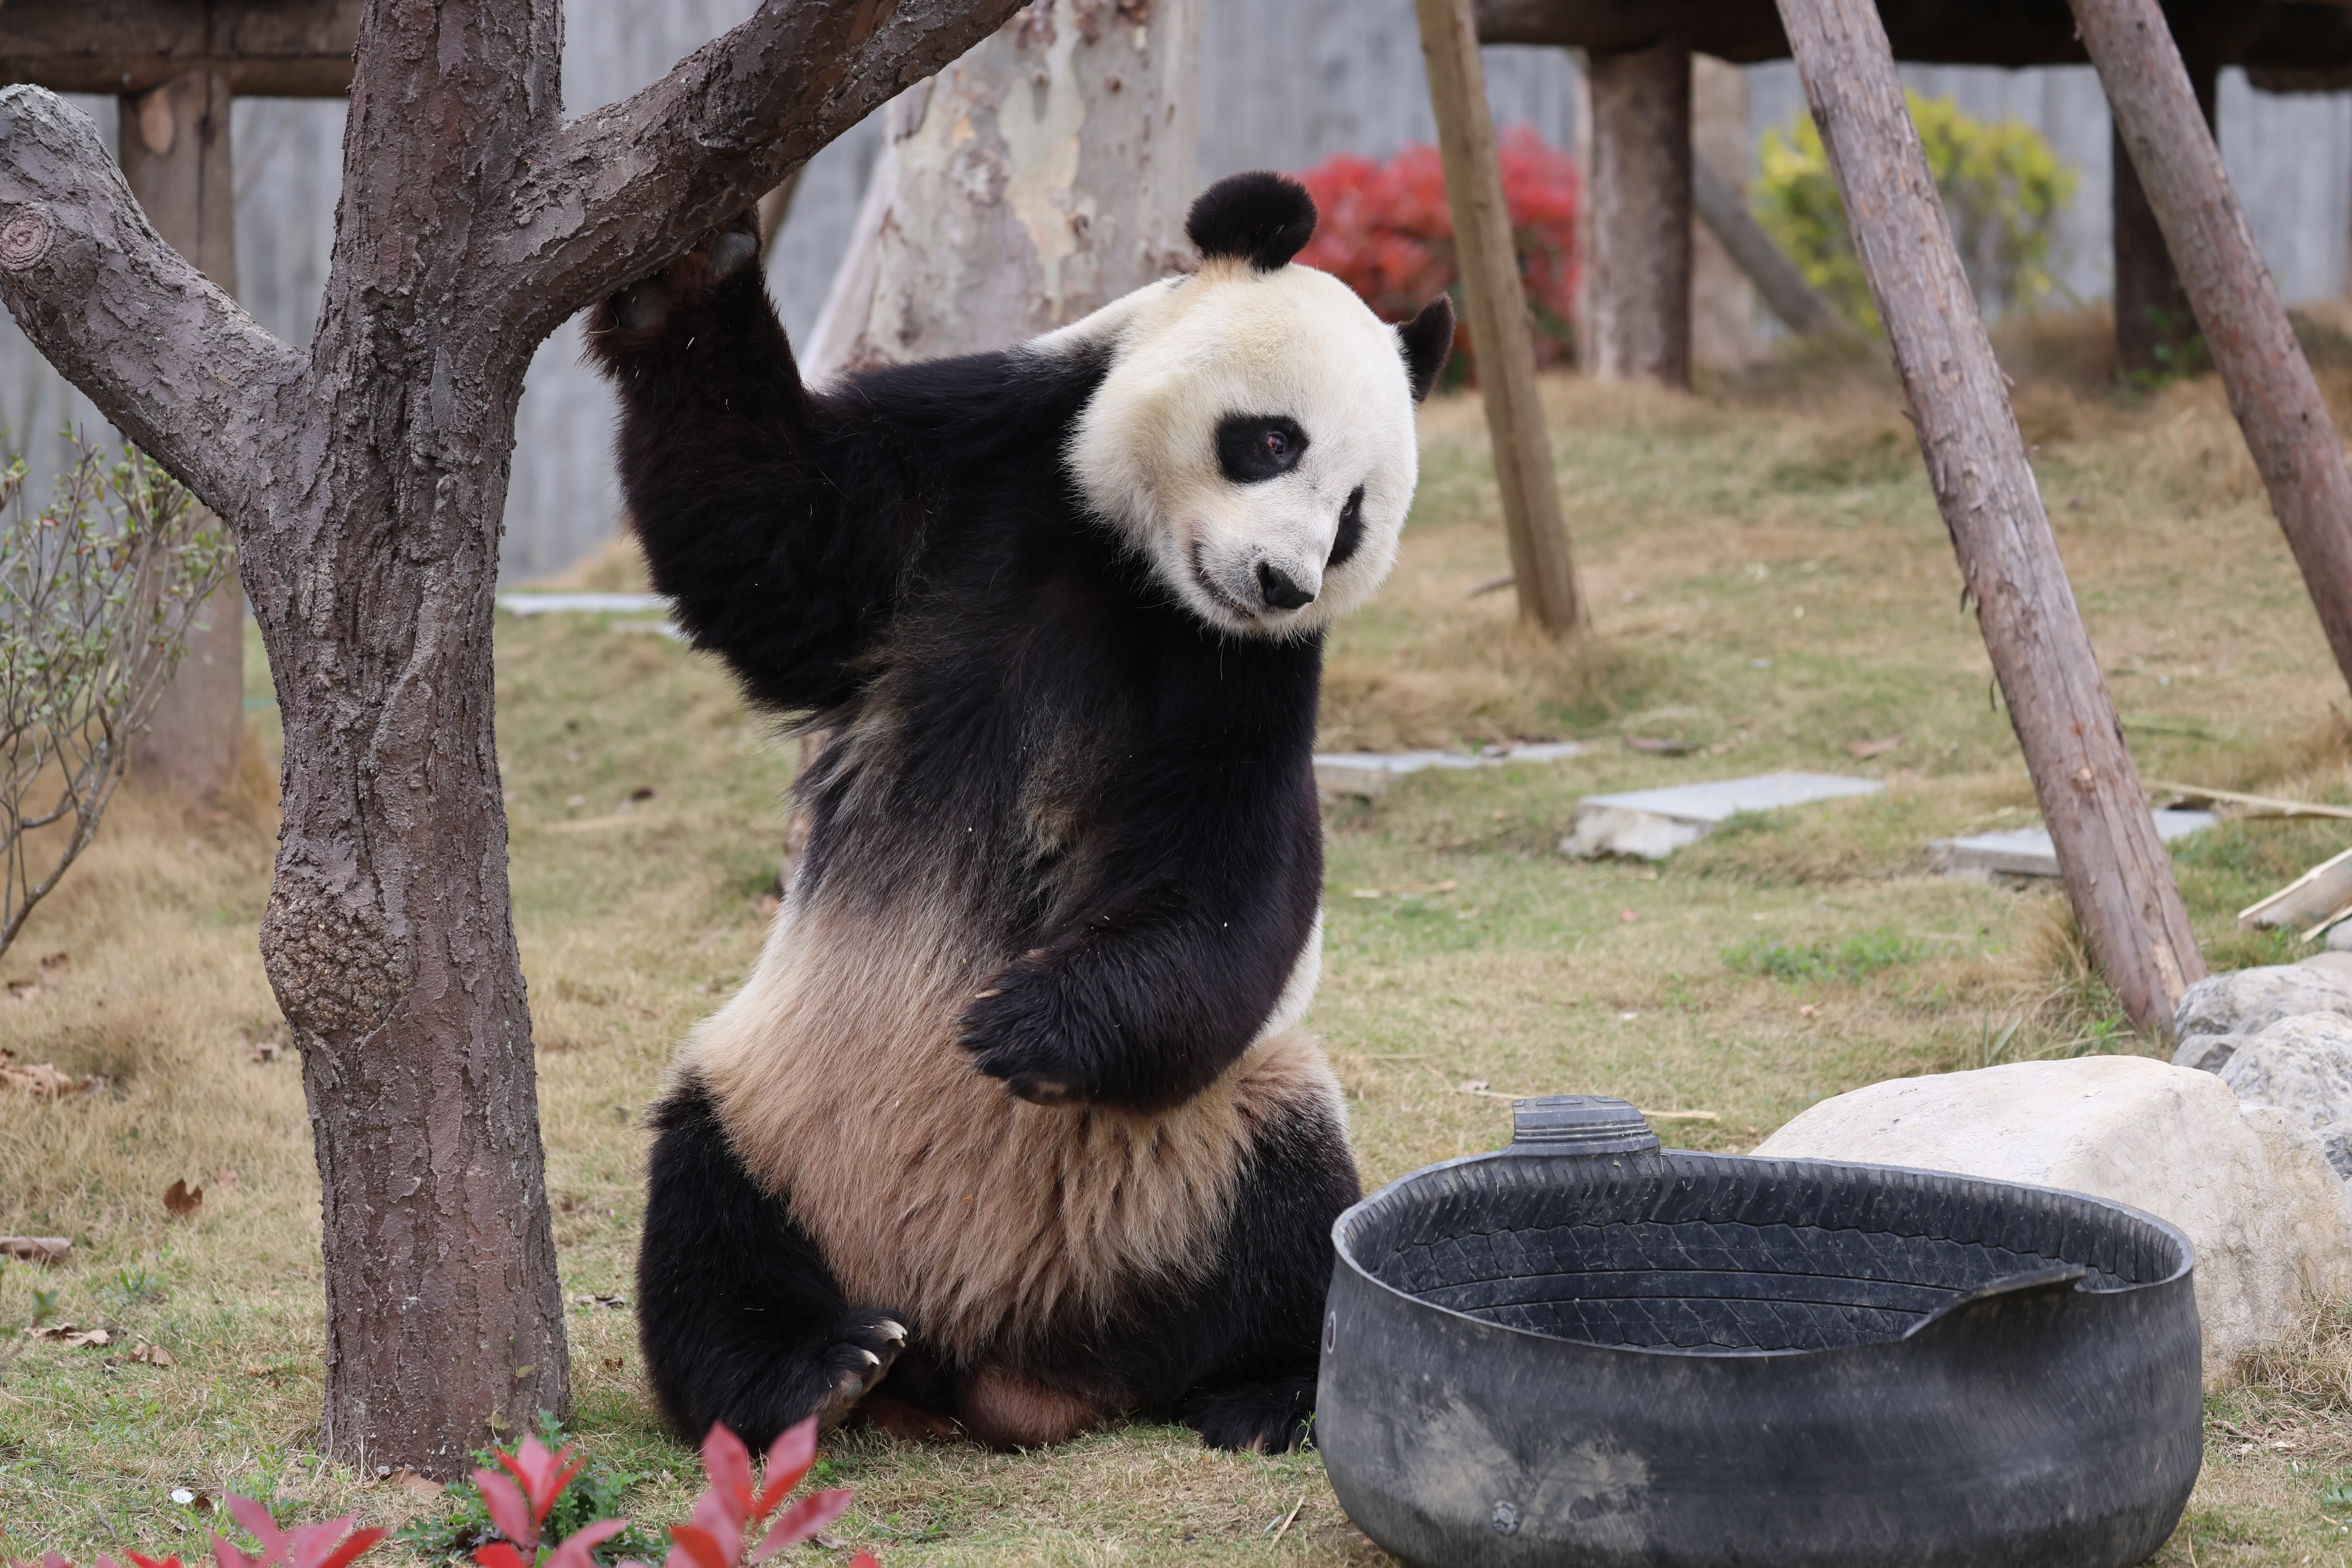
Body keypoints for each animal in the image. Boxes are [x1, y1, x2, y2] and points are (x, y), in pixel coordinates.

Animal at [585, 171, 1452, 1456]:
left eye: (1353, 516)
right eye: (1270, 440)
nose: (1282, 582)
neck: (1127, 561)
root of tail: (996, 1360)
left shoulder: (1245, 675)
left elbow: (1230, 875)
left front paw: (1023, 1026)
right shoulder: (964, 465)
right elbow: (767, 543)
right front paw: (693, 271)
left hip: (1213, 1140)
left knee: (1298, 1210)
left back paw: (1273, 1387)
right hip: (781, 1105)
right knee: (704, 1220)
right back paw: (808, 1371)